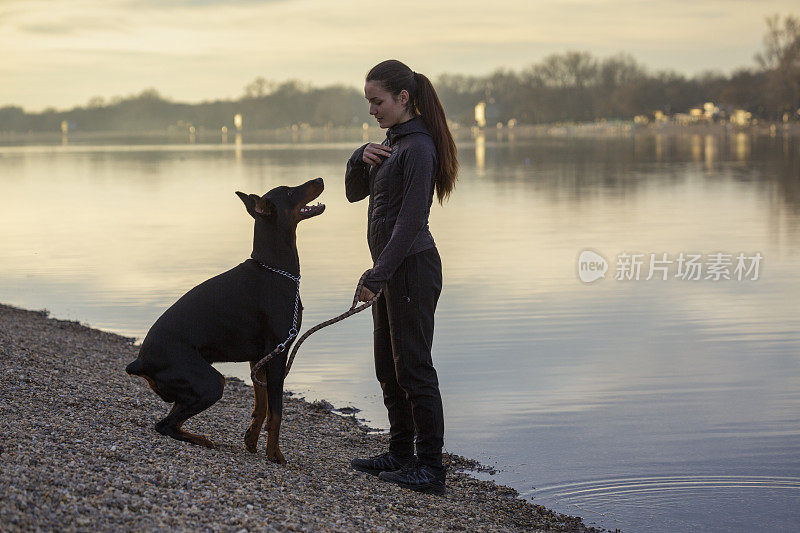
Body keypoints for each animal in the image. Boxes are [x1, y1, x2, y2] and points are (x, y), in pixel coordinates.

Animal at [125, 178, 324, 462]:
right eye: (289, 191)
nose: (319, 180)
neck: (274, 269)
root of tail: (140, 362)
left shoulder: (260, 357)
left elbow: (261, 405)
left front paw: (251, 440)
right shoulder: (278, 353)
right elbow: (276, 412)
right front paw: (274, 455)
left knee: (171, 421)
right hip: (210, 382)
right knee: (164, 425)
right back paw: (202, 439)